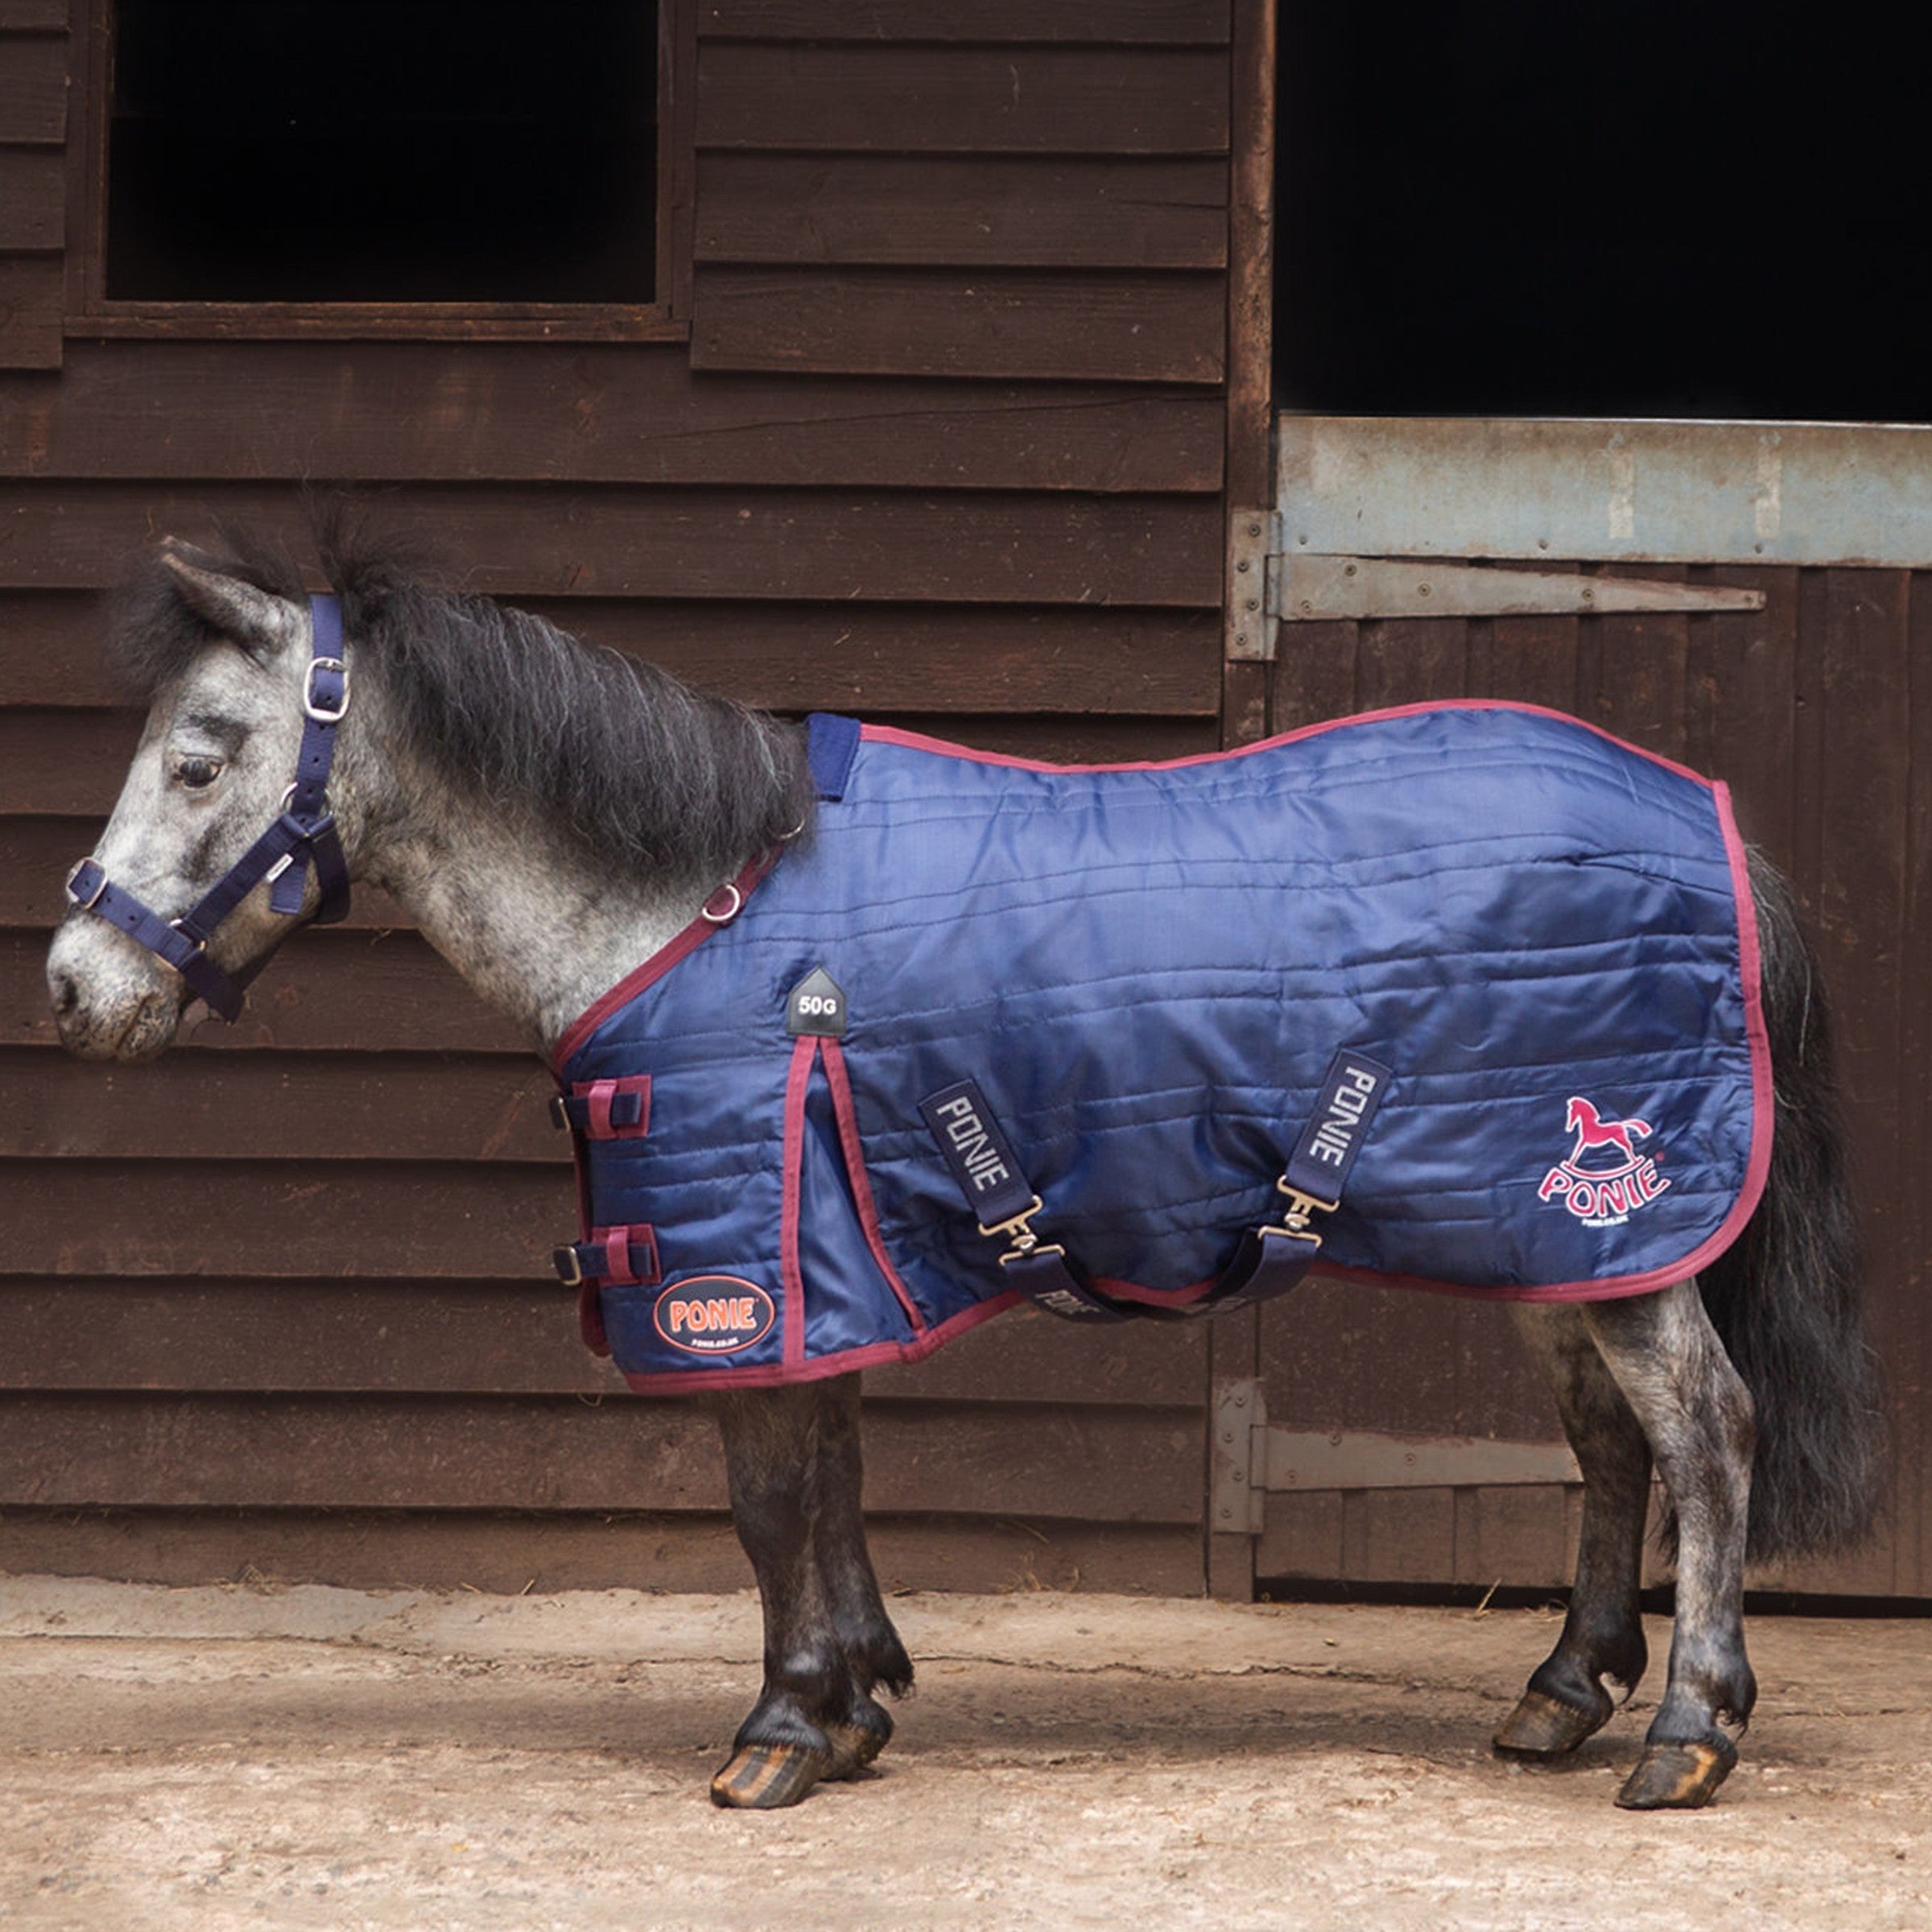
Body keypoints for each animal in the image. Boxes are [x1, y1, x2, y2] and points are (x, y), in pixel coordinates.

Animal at [46, 527, 1880, 1813]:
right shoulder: (824, 1251)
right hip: (1556, 1244)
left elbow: (769, 1500)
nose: (72, 990)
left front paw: (783, 1731)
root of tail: (1715, 820)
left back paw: (1688, 1733)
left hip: (1615, 1237)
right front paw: (858, 1702)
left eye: (199, 757)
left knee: (1705, 1433)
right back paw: (1561, 1699)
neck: (698, 904)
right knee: (1610, 1449)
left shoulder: (745, 1261)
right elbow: (837, 1482)